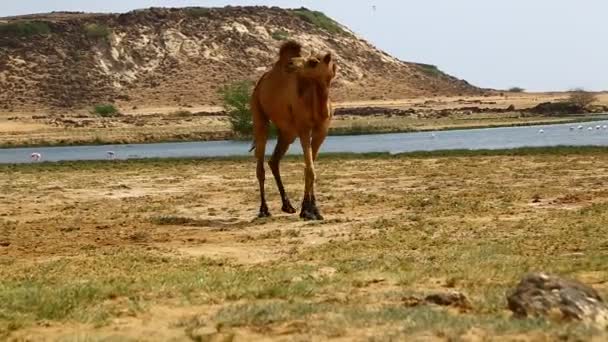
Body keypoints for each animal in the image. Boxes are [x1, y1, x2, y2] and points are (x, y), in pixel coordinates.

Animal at [251, 41, 340, 220]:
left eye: (313, 61)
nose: (291, 63)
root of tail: (260, 83)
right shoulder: (304, 128)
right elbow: (310, 169)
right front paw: (309, 211)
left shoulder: (321, 131)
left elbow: (309, 168)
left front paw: (310, 210)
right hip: (258, 112)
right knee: (261, 164)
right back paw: (264, 210)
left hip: (288, 133)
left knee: (274, 161)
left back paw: (288, 206)